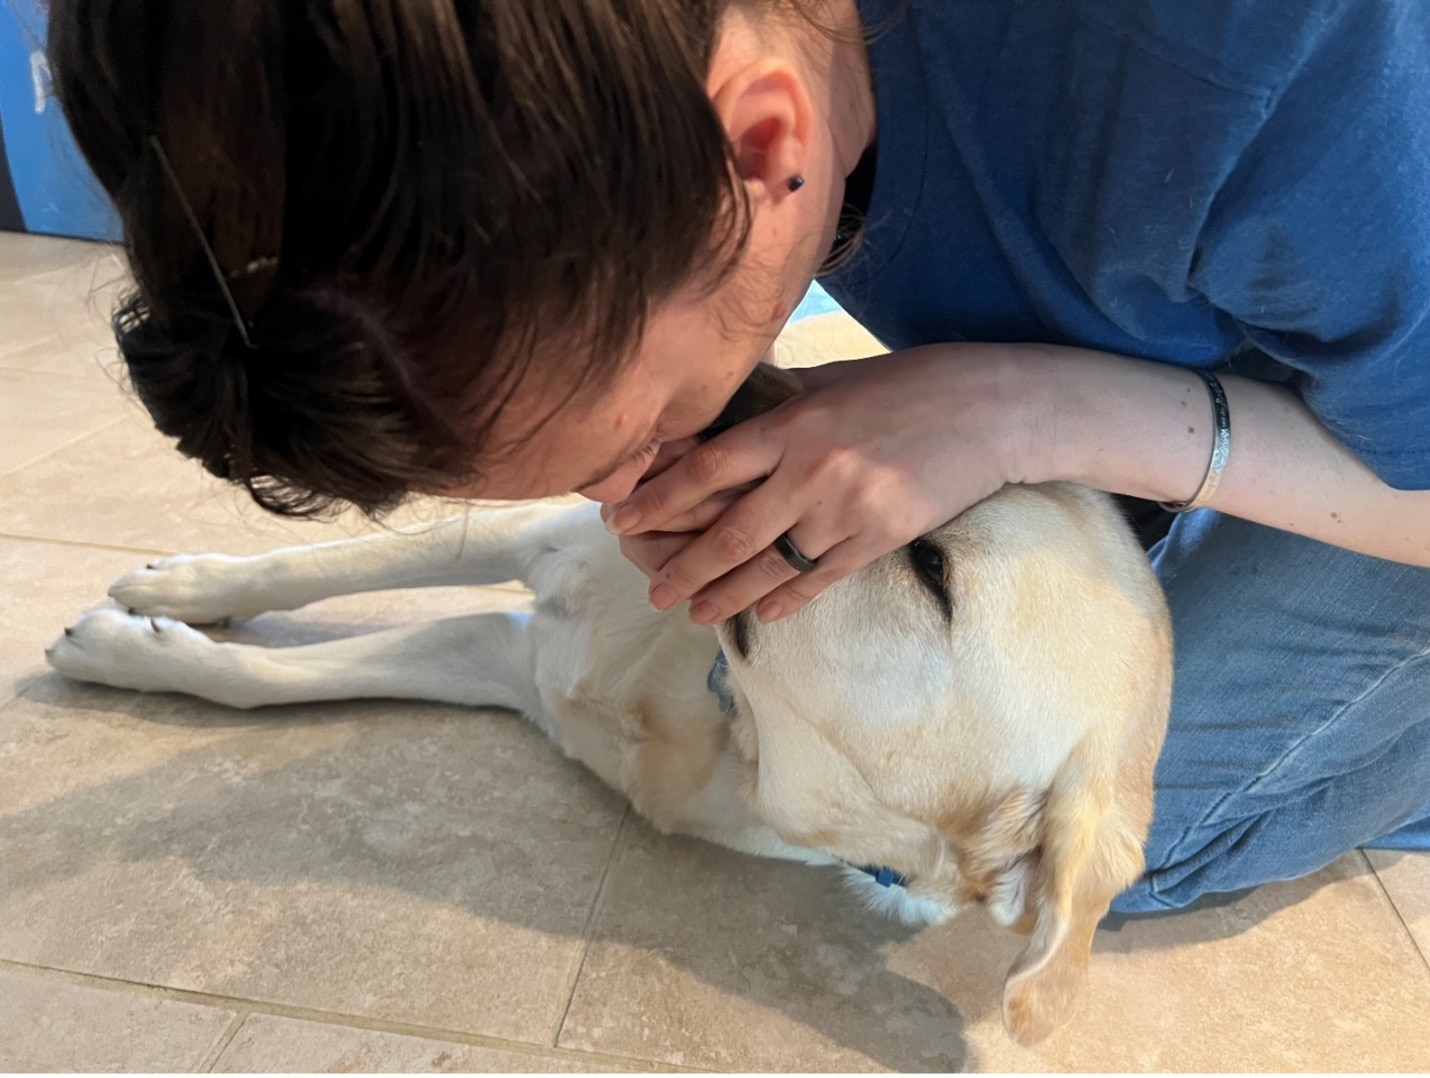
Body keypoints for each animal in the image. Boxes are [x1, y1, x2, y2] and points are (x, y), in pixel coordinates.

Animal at [47, 363, 1172, 1040]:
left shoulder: (508, 659)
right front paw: (169, 605)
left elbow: (287, 670)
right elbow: (312, 575)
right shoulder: (534, 544)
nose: (750, 374)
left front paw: (143, 636)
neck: (722, 709)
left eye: (933, 570)